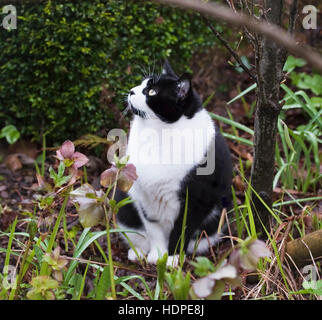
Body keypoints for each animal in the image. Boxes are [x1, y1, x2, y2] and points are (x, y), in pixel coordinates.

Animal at [115, 61, 231, 266]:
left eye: (152, 91)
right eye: (141, 83)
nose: (131, 91)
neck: (159, 132)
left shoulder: (197, 200)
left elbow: (183, 228)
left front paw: (172, 257)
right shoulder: (144, 195)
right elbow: (152, 226)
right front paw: (158, 254)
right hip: (124, 199)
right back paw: (137, 252)